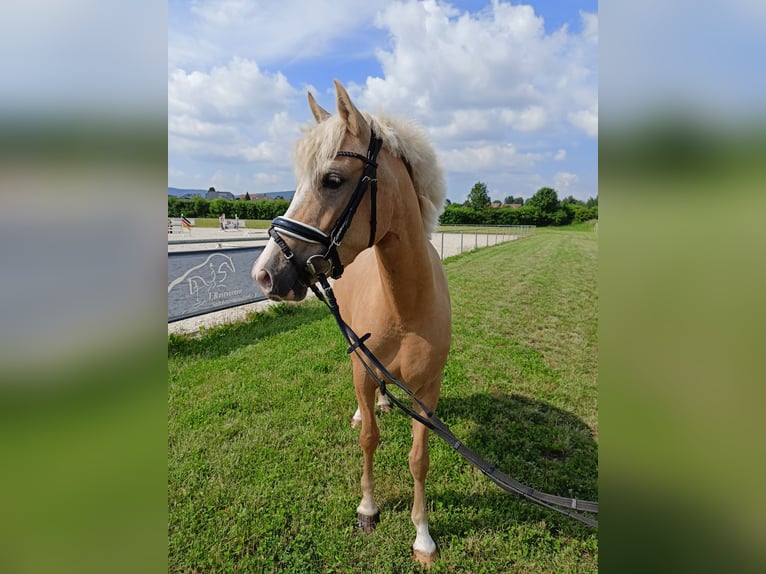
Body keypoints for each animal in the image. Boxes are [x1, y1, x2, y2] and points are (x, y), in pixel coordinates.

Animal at [254, 80, 450, 568]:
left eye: (332, 180)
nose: (265, 274)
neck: (405, 306)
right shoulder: (361, 368)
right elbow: (368, 439)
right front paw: (368, 507)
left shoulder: (427, 390)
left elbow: (419, 457)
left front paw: (423, 536)